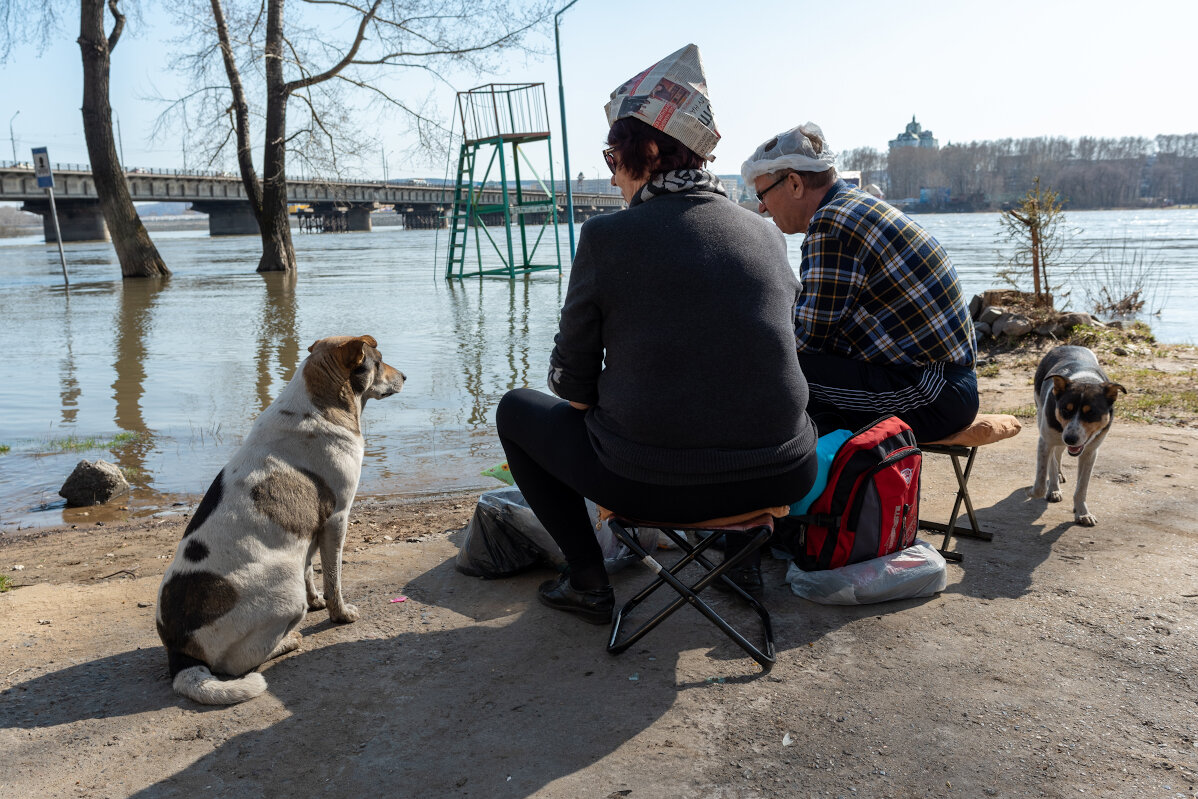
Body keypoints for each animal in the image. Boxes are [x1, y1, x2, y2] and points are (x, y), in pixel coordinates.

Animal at [155, 335, 402, 704]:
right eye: (378, 360)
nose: (404, 376)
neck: (316, 405)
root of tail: (181, 657)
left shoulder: (309, 533)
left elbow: (311, 569)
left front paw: (318, 602)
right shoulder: (337, 519)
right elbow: (334, 577)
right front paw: (340, 614)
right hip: (285, 590)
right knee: (239, 663)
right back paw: (287, 641)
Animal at [1030, 342, 1121, 524]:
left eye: (1091, 413)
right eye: (1066, 410)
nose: (1070, 439)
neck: (1084, 378)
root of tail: (1067, 345)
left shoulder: (1090, 452)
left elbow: (1082, 487)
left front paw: (1082, 512)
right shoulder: (1046, 440)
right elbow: (1042, 477)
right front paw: (1044, 490)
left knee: (1059, 452)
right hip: (1042, 416)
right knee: (1054, 457)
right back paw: (1054, 487)